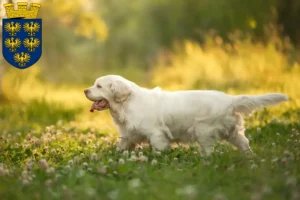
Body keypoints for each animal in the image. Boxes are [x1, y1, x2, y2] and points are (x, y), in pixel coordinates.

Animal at [84, 75, 288, 155]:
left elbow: (159, 149)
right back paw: (250, 158)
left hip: (204, 132)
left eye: (99, 86)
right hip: (232, 132)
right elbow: (122, 147)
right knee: (244, 143)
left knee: (209, 151)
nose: (85, 90)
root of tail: (229, 99)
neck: (127, 103)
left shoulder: (157, 134)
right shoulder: (128, 135)